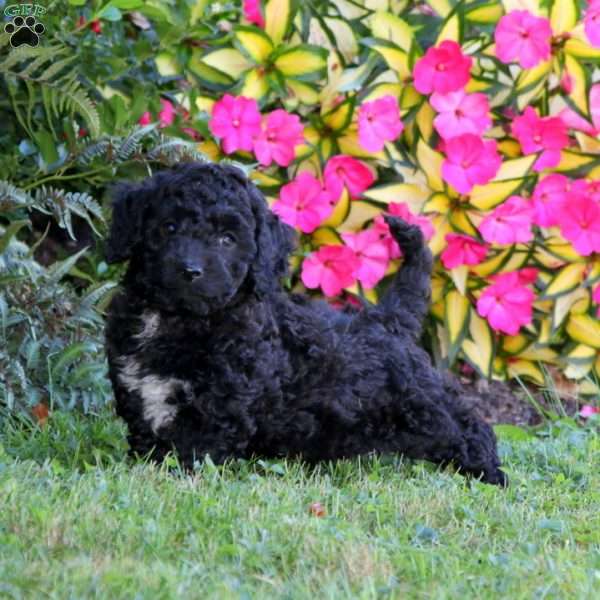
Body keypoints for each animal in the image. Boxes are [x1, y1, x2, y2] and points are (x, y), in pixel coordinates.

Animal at [106, 162, 506, 486]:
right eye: (168, 227)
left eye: (227, 239)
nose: (190, 270)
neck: (177, 319)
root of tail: (387, 318)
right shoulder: (134, 389)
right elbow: (146, 436)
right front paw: (142, 466)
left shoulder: (220, 404)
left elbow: (195, 447)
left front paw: (175, 476)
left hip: (418, 405)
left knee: (465, 425)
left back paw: (488, 472)